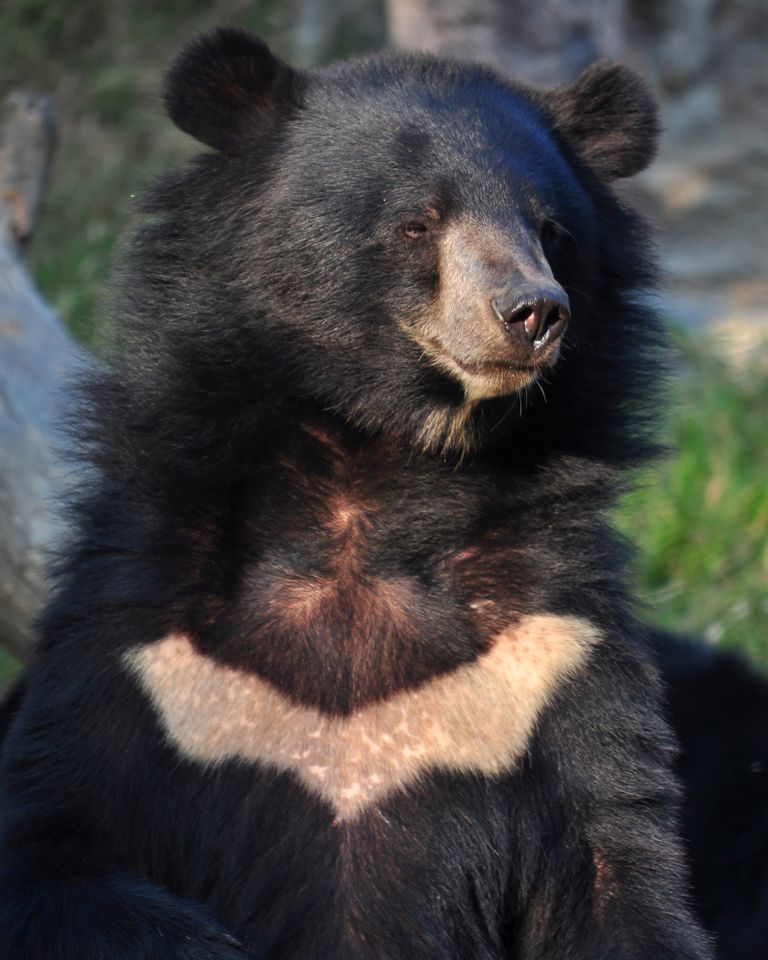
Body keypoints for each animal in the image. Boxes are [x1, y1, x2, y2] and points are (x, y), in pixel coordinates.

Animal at [0, 28, 714, 960]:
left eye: (551, 229)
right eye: (419, 221)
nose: (533, 311)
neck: (375, 473)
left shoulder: (552, 653)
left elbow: (618, 877)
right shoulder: (142, 644)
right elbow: (56, 841)